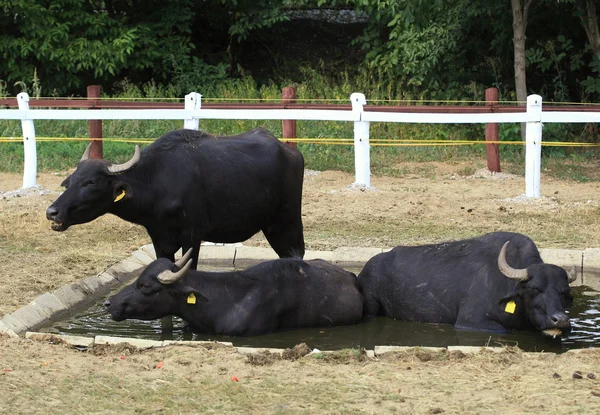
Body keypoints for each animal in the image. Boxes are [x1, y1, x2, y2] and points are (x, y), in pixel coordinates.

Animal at [46, 127, 304, 270]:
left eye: (90, 182)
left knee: (297, 254)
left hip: (289, 220)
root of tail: (291, 151)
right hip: (271, 226)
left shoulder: (193, 238)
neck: (157, 183)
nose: (52, 212)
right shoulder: (160, 240)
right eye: (70, 181)